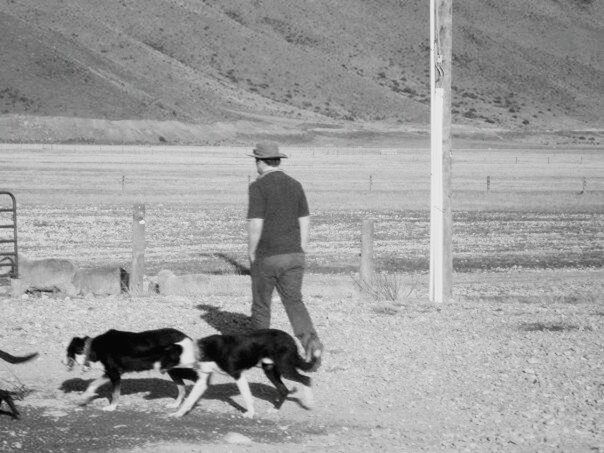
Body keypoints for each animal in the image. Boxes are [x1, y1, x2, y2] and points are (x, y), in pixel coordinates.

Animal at [66, 328, 198, 410]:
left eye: (67, 353)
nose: (63, 362)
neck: (91, 347)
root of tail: (187, 337)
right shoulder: (111, 373)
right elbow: (93, 383)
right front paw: (85, 397)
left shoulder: (114, 374)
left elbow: (115, 393)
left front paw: (112, 407)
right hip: (172, 370)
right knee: (182, 388)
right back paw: (175, 405)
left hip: (181, 369)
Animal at [165, 328, 316, 416]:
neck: (200, 350)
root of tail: (291, 339)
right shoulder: (204, 379)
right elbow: (190, 398)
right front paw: (178, 412)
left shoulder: (237, 374)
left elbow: (247, 397)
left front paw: (250, 414)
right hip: (270, 370)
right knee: (284, 390)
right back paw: (275, 409)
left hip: (286, 369)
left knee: (306, 379)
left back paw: (309, 402)